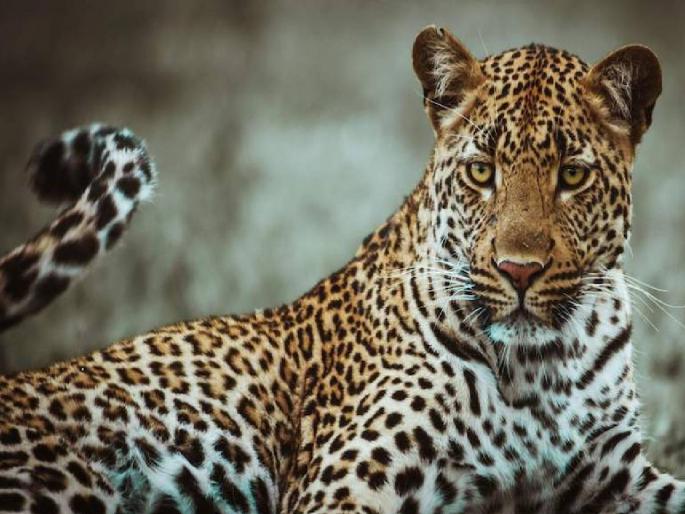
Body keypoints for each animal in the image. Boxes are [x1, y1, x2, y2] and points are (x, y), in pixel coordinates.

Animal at [0, 25, 682, 514]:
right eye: (482, 171)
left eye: (573, 175)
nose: (518, 271)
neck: (543, 367)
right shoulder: (349, 482)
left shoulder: (614, 475)